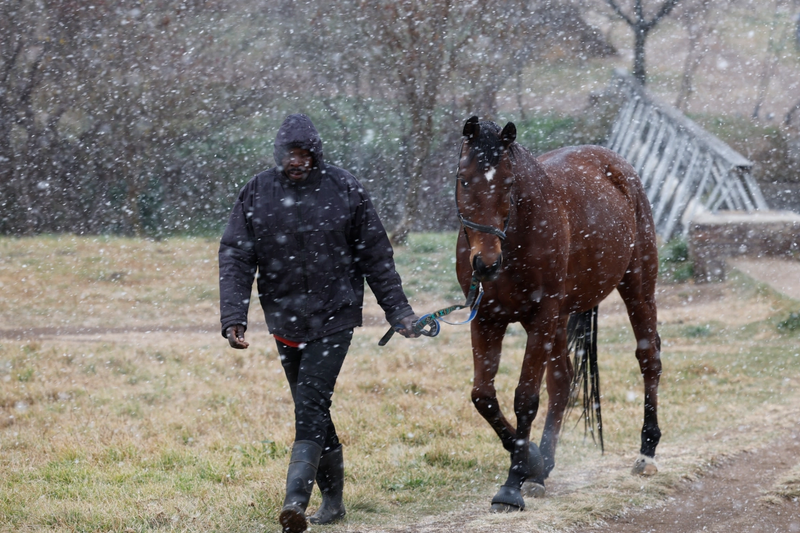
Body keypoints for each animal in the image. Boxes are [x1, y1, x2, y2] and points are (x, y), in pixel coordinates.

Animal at [456, 115, 664, 512]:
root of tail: (618, 167)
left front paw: (511, 486)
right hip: (558, 320)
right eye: (463, 178)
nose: (486, 264)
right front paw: (532, 464)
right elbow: (483, 395)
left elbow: (525, 398)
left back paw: (647, 452)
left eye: (508, 183)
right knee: (563, 380)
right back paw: (543, 468)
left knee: (648, 359)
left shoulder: (541, 317)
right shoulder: (488, 318)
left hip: (637, 290)